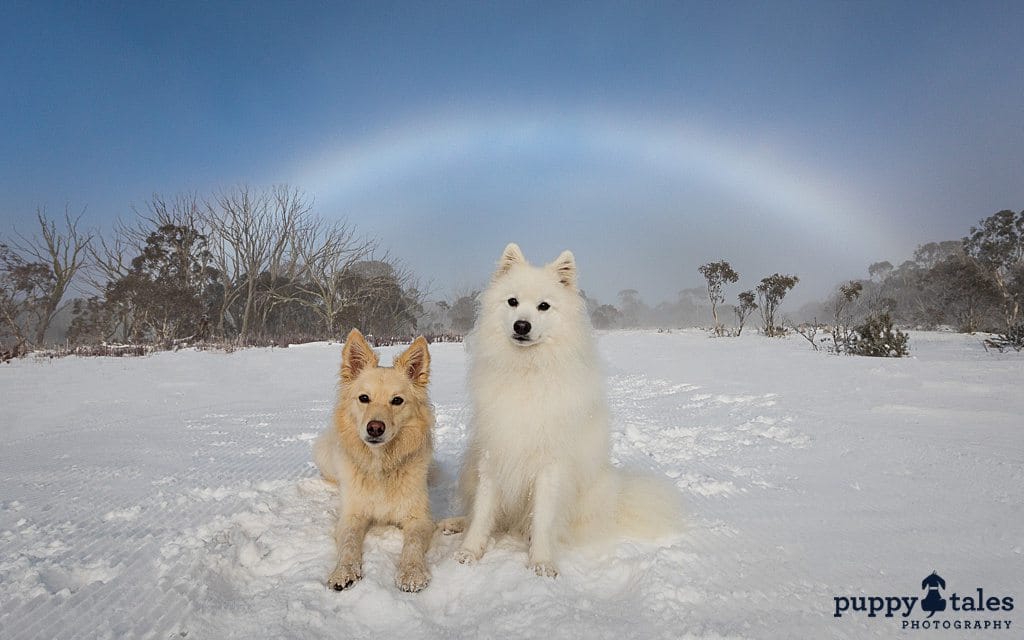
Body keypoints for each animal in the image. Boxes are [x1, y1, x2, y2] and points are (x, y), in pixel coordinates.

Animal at [454, 241, 679, 577]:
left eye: (544, 306)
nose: (522, 325)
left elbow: (544, 519)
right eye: (512, 301)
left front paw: (542, 563)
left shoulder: (550, 466)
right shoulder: (493, 453)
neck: (528, 372)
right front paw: (469, 552)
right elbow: (482, 511)